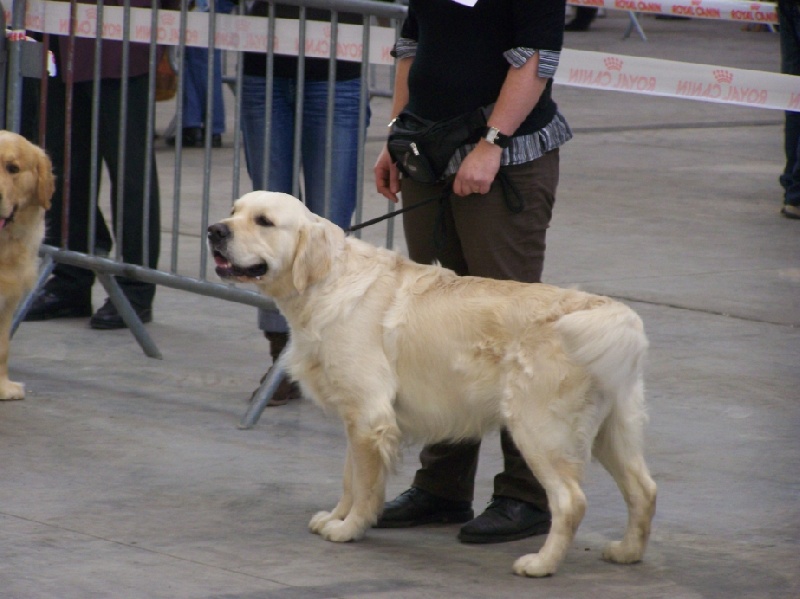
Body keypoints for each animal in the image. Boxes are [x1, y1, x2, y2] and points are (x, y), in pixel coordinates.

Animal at [206, 191, 656, 576]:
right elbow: (350, 479)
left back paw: (541, 564)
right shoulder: (357, 417)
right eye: (234, 210)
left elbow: (364, 484)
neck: (327, 283)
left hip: (537, 429)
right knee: (644, 490)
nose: (214, 231)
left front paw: (349, 528)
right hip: (613, 429)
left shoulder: (369, 416)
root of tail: (612, 313)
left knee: (571, 501)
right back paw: (627, 552)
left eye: (264, 221)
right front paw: (335, 517)